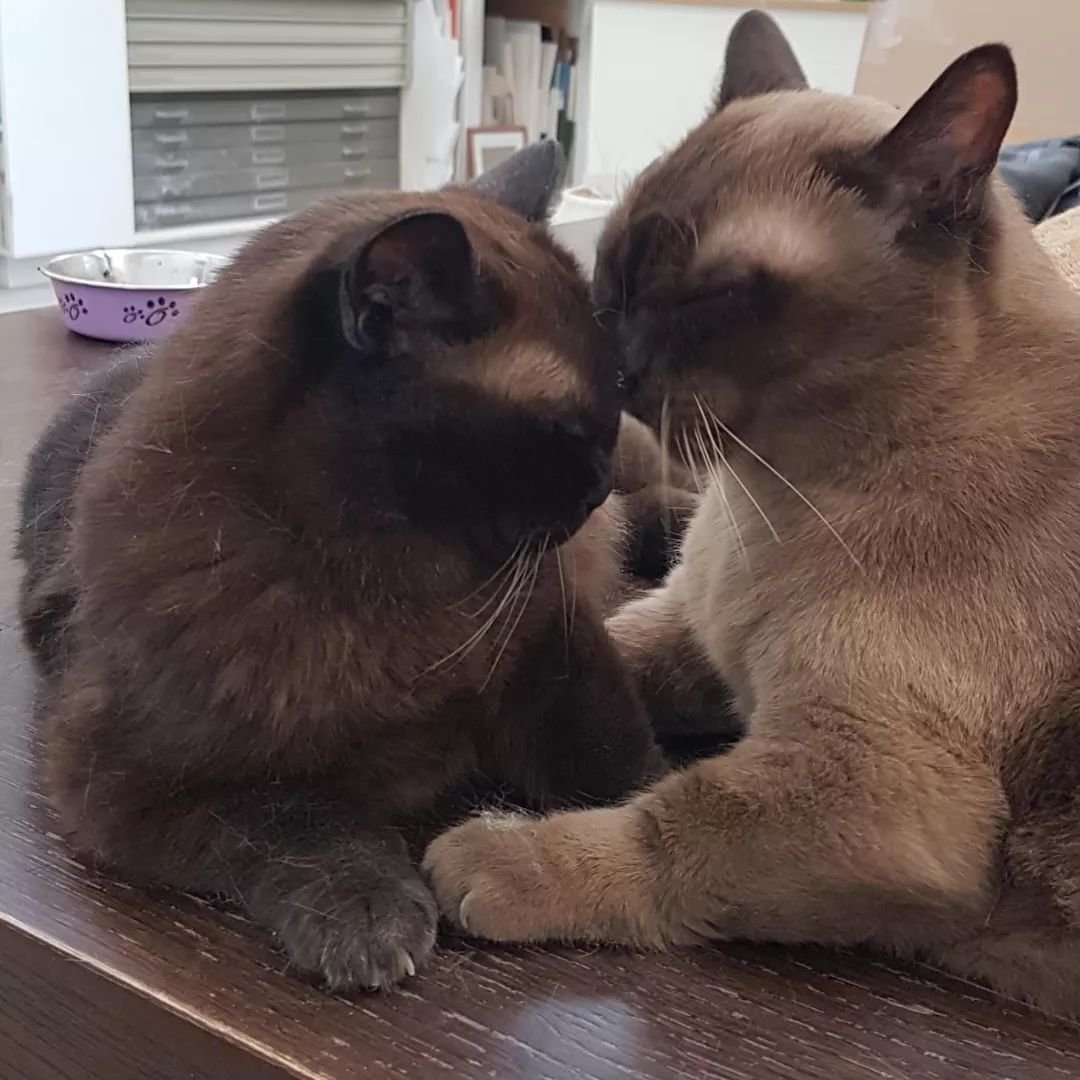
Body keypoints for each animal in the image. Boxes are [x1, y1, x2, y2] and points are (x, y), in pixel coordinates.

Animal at [16, 145, 660, 993]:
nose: (599, 483)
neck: (398, 583)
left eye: (616, 402)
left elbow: (621, 762)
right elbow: (297, 813)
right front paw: (368, 909)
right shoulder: (128, 785)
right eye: (567, 426)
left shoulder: (550, 636)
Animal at [423, 12, 1080, 1015]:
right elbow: (601, 653)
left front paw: (496, 854)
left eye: (711, 295)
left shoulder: (865, 792)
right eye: (609, 265)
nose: (611, 358)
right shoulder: (700, 639)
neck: (764, 496)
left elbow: (670, 824)